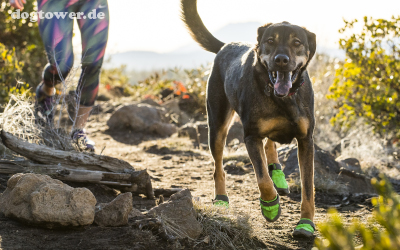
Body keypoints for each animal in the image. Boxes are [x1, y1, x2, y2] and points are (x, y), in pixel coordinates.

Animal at [180, 0, 316, 237]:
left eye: (297, 42)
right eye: (270, 41)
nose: (281, 60)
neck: (283, 100)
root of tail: (227, 45)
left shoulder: (306, 141)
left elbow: (308, 187)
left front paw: (306, 223)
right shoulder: (251, 136)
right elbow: (262, 178)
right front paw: (270, 207)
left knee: (271, 144)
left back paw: (277, 174)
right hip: (217, 126)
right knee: (218, 168)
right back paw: (222, 199)